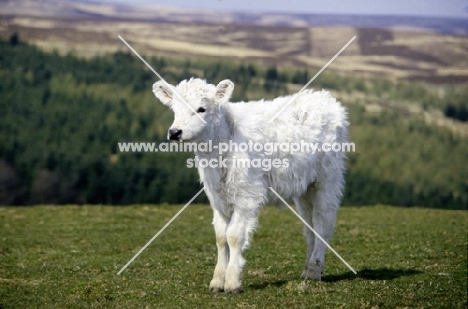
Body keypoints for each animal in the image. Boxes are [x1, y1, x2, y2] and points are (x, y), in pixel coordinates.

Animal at [153, 78, 348, 292]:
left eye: (201, 109)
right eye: (174, 108)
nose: (175, 132)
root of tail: (324, 96)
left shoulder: (246, 195)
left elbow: (234, 236)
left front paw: (232, 282)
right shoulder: (216, 197)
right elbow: (220, 237)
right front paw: (217, 281)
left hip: (326, 180)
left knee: (322, 223)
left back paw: (314, 269)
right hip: (305, 189)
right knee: (309, 226)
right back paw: (308, 271)